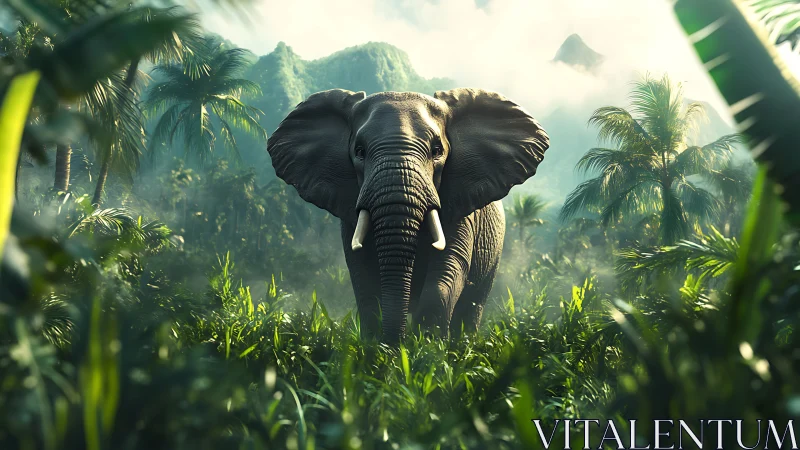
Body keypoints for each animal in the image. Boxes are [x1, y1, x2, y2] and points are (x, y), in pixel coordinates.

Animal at [267, 88, 550, 343]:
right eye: (359, 151)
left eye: (437, 150)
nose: (396, 344)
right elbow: (364, 281)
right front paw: (378, 352)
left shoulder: (460, 206)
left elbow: (447, 270)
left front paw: (428, 350)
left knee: (472, 306)